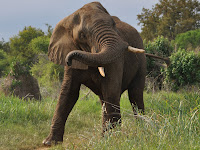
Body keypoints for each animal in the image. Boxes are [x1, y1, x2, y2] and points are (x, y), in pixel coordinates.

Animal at [43, 1, 148, 146]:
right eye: (82, 35)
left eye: (113, 24)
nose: (69, 59)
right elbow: (68, 93)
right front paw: (49, 142)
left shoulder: (116, 60)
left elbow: (111, 90)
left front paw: (111, 140)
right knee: (105, 99)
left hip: (141, 63)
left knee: (135, 94)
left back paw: (141, 130)